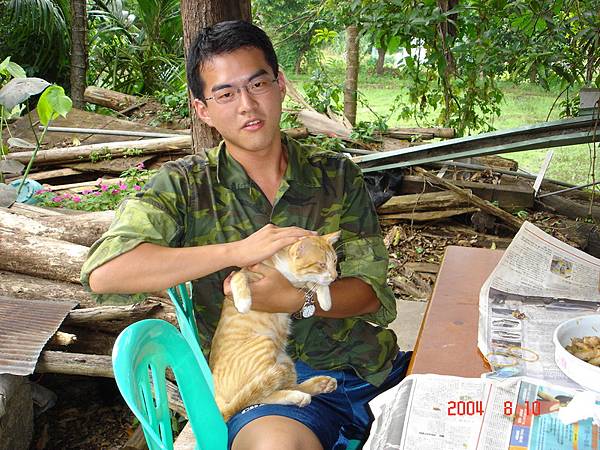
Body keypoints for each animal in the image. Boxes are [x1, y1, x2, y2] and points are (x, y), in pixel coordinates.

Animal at [210, 232, 342, 422]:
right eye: (321, 264)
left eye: (335, 261)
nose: (334, 276)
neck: (286, 272)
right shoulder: (247, 271)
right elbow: (238, 277)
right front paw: (243, 302)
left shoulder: (298, 283)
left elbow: (313, 284)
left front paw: (325, 299)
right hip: (265, 344)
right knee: (254, 397)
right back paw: (297, 396)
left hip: (285, 361)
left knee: (277, 387)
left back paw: (318, 385)